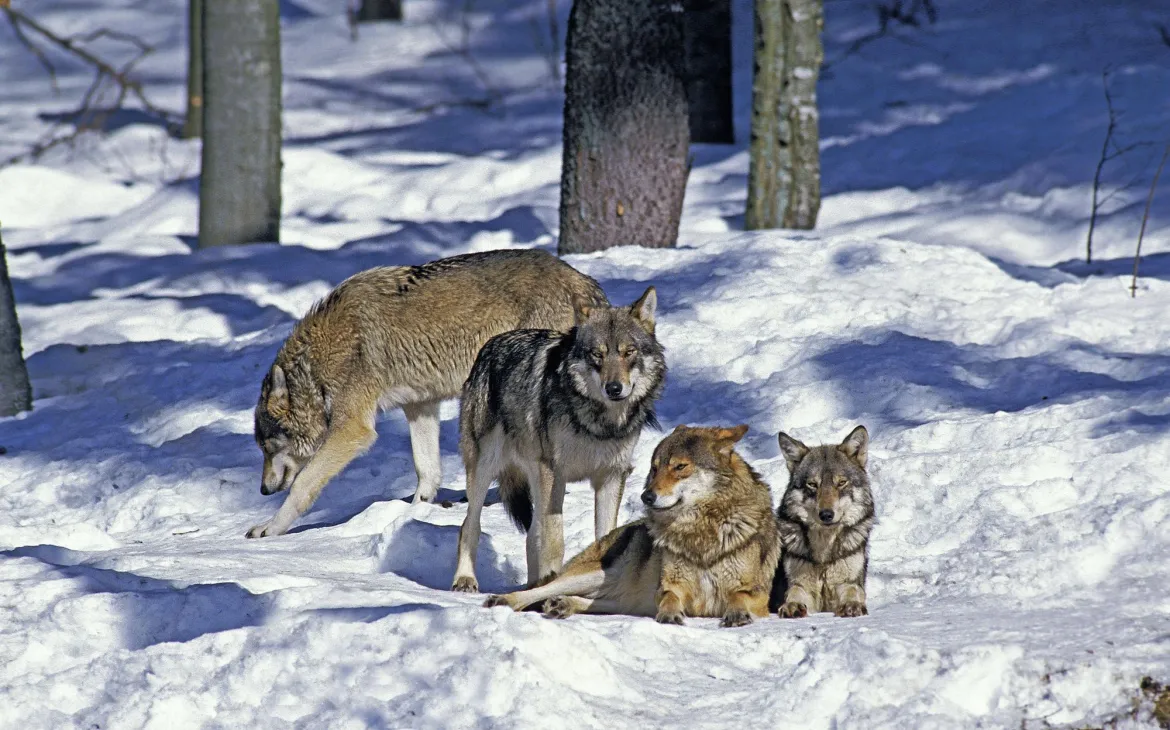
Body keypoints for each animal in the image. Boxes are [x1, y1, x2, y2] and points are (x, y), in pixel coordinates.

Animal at [248, 249, 607, 538]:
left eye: (267, 447)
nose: (263, 490)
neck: (319, 365)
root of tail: (581, 280)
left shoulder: (353, 430)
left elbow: (302, 484)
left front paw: (270, 528)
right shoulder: (420, 405)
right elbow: (426, 469)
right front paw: (415, 511)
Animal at [450, 286, 666, 592]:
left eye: (629, 352)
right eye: (597, 355)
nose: (614, 388)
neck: (597, 424)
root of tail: (490, 346)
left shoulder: (612, 475)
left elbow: (605, 535)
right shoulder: (555, 474)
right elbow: (554, 541)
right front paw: (552, 581)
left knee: (531, 535)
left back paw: (531, 585)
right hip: (485, 469)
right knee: (470, 524)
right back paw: (465, 580)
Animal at [482, 425, 781, 628]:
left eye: (680, 467)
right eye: (654, 468)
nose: (646, 496)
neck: (700, 530)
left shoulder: (757, 596)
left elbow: (739, 598)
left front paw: (737, 614)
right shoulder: (670, 586)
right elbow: (670, 598)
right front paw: (670, 614)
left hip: (622, 598)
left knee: (591, 601)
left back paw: (563, 605)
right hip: (597, 574)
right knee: (539, 591)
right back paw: (506, 601)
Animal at [772, 425, 874, 618]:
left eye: (841, 483)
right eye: (812, 484)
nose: (826, 514)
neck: (824, 556)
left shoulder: (849, 581)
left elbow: (853, 591)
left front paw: (852, 605)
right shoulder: (800, 584)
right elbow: (794, 592)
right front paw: (792, 605)